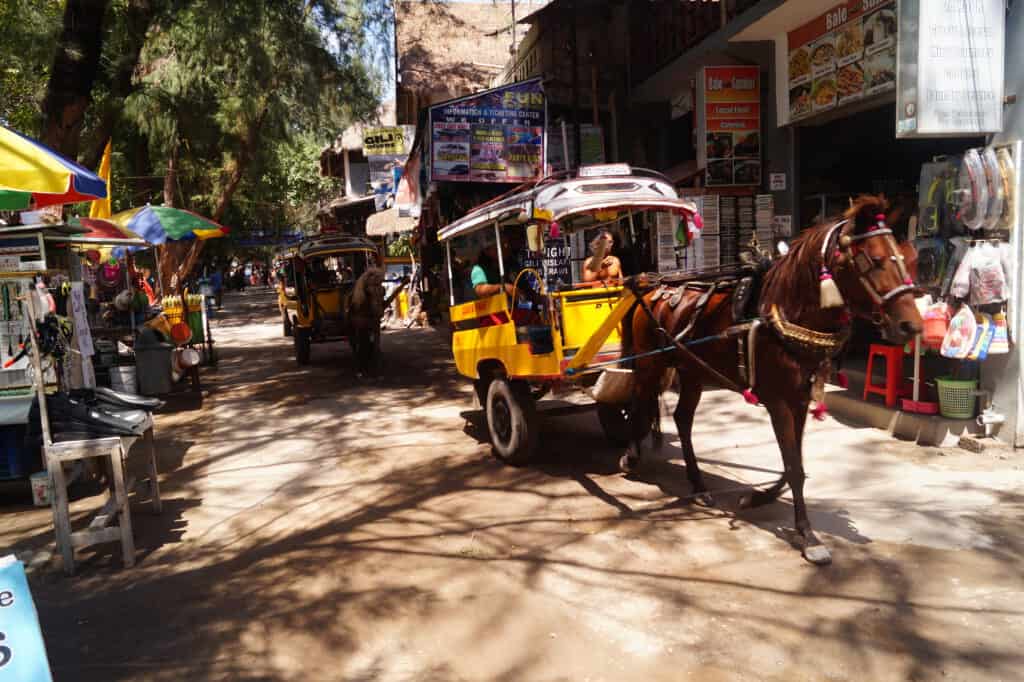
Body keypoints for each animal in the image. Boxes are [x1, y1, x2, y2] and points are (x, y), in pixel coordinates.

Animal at [618, 195, 925, 561]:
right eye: (874, 260)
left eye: (906, 258)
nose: (912, 326)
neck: (787, 315)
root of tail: (653, 289)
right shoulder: (778, 402)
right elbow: (793, 466)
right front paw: (808, 535)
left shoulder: (800, 400)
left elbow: (794, 463)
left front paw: (759, 497)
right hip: (649, 365)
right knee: (638, 405)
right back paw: (631, 456)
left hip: (692, 371)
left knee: (682, 419)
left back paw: (698, 484)